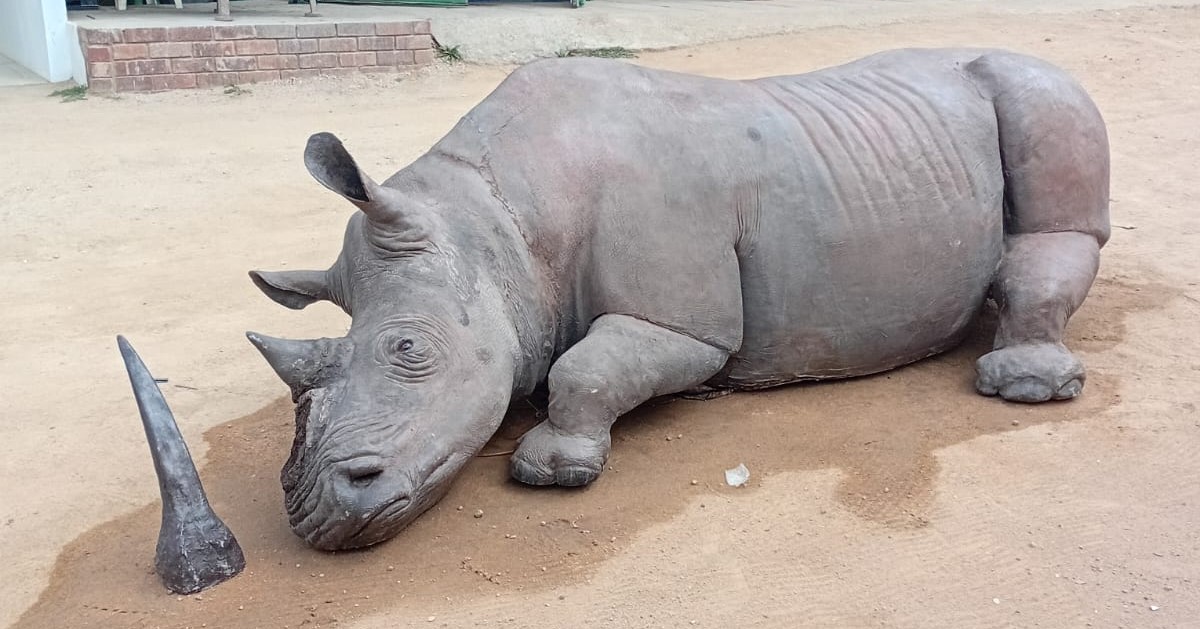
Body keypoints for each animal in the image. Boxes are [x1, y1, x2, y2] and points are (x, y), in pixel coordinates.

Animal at [209, 48, 1107, 551]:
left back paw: (1027, 387)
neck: (492, 224)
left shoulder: (684, 322)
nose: (313, 517)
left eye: (409, 349)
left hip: (1049, 90)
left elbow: (583, 369)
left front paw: (552, 469)